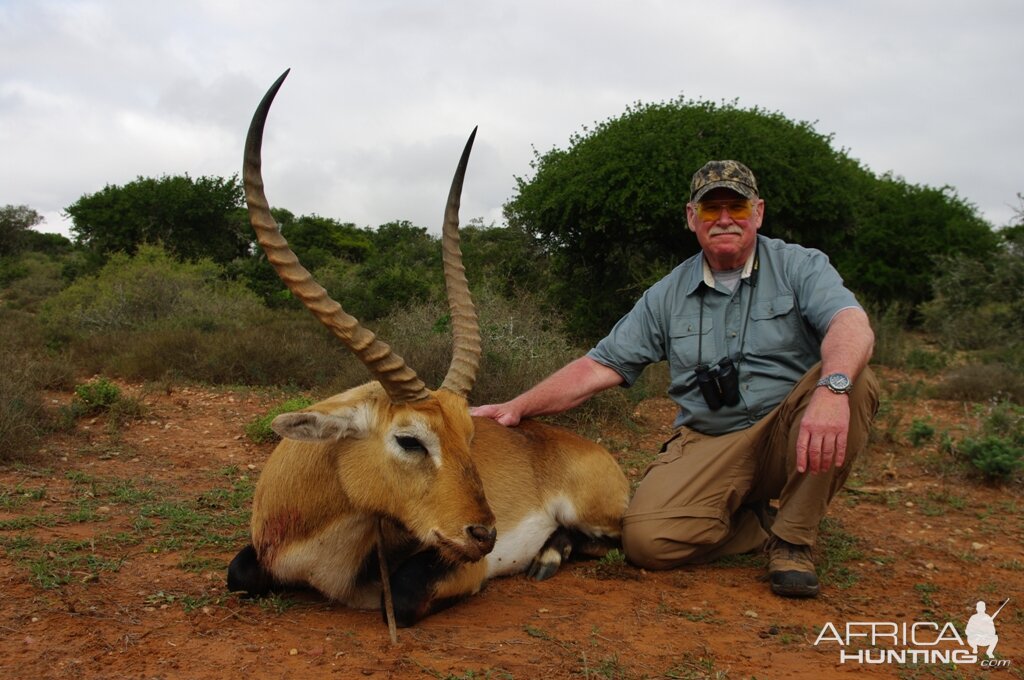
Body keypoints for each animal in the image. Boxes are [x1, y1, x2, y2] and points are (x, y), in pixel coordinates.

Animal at [229, 71, 630, 630]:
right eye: (410, 440)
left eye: (470, 435)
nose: (484, 534)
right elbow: (238, 574)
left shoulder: (459, 566)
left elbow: (399, 594)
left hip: (596, 518)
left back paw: (549, 558)